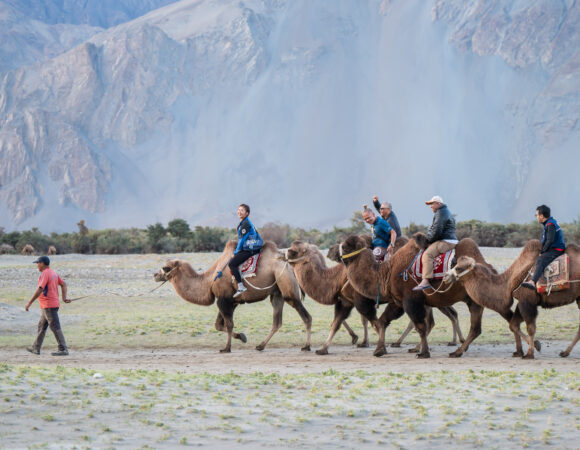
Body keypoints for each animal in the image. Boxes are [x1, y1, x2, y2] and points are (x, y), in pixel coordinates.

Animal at [152, 241, 310, 354]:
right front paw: (242, 337)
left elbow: (228, 324)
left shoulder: (223, 299)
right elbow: (219, 325)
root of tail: (290, 265)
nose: (155, 275)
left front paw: (226, 348)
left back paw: (306, 346)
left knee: (305, 315)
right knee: (277, 321)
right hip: (277, 292)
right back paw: (260, 346)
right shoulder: (231, 301)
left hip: (287, 286)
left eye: (166, 268)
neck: (209, 280)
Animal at [328, 239, 464, 352]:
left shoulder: (362, 298)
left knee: (439, 318)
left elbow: (365, 318)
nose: (330, 251)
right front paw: (364, 342)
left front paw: (362, 340)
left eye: (345, 247)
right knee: (448, 316)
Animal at [342, 232, 496, 358]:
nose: (339, 253)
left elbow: (421, 327)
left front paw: (424, 353)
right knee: (475, 328)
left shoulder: (411, 299)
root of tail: (489, 268)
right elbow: (383, 321)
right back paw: (458, 351)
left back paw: (456, 350)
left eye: (345, 247)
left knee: (472, 326)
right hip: (472, 300)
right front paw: (379, 350)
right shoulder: (398, 302)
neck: (387, 273)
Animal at [446, 241, 576, 360]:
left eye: (458, 268)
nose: (446, 276)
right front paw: (533, 347)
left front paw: (530, 353)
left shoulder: (527, 301)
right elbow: (513, 324)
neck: (508, 283)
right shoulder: (522, 301)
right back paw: (565, 352)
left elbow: (530, 328)